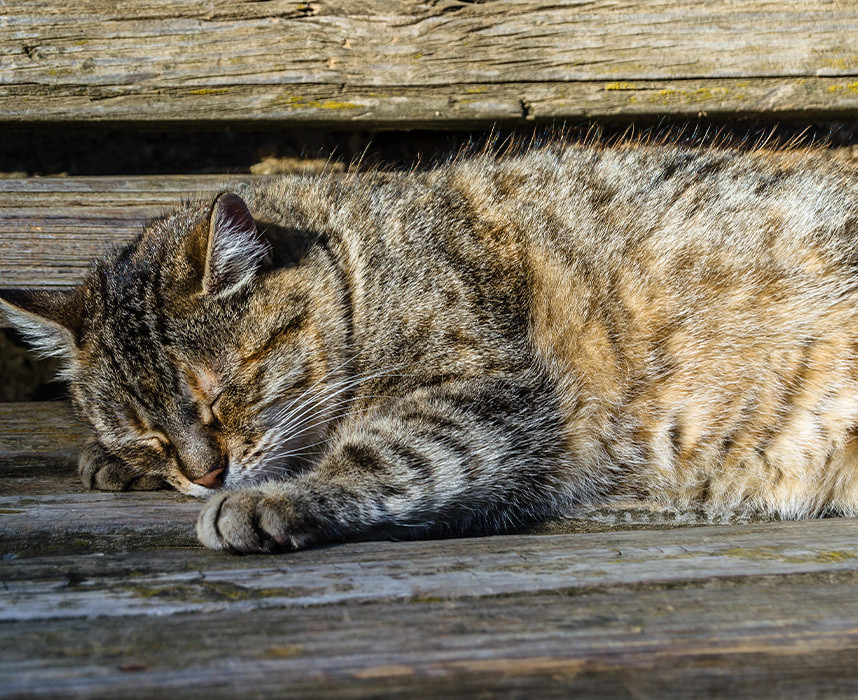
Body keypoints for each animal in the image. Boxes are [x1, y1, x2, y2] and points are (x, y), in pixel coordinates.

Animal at [1, 141, 856, 552]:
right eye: (144, 433)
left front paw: (271, 500)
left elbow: (384, 456)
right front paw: (117, 465)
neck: (360, 260)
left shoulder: (481, 390)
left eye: (224, 391)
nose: (205, 472)